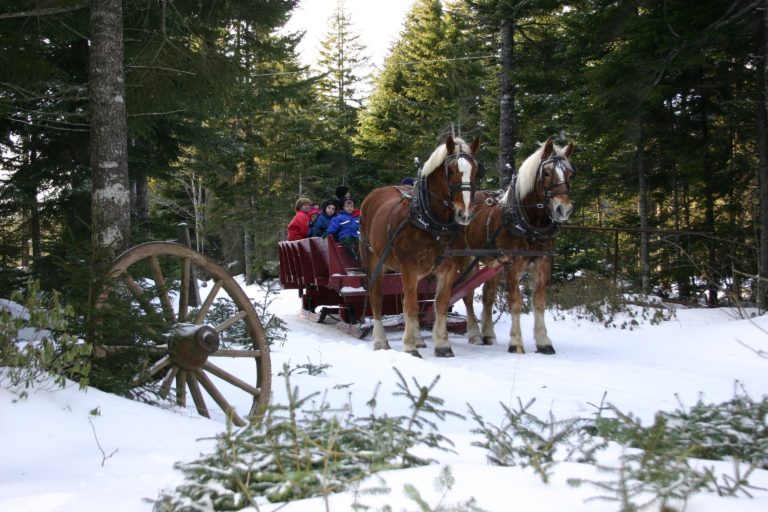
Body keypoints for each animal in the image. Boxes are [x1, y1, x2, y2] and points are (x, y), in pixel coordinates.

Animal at [360, 136, 480, 360]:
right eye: (451, 171)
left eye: (476, 170)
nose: (465, 214)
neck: (432, 224)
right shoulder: (409, 268)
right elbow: (410, 305)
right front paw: (409, 347)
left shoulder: (448, 269)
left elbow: (439, 304)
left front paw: (442, 345)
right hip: (374, 260)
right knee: (376, 297)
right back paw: (381, 340)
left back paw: (418, 338)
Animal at [460, 140, 572, 356]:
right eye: (546, 173)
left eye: (570, 173)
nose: (564, 209)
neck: (530, 226)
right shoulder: (513, 265)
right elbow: (516, 303)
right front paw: (516, 342)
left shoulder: (543, 264)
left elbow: (539, 303)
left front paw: (544, 342)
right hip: (467, 258)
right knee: (467, 295)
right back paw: (475, 334)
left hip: (491, 262)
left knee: (488, 295)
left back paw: (488, 334)